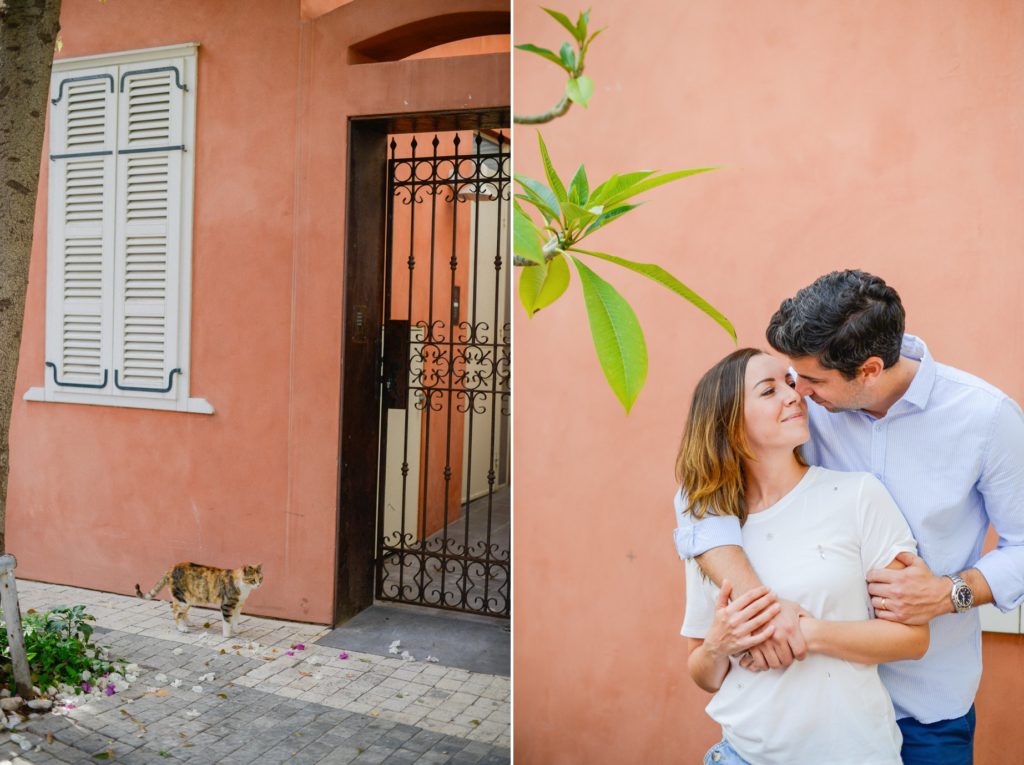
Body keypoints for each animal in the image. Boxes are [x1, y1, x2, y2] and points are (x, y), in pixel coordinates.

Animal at [136, 561, 264, 639]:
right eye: (253, 580)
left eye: (261, 578)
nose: (258, 585)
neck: (244, 587)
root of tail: (171, 568)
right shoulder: (227, 605)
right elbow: (227, 621)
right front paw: (227, 635)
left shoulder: (238, 606)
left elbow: (236, 620)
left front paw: (237, 630)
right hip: (182, 598)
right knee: (176, 611)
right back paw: (182, 628)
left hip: (189, 598)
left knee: (182, 612)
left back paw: (188, 623)